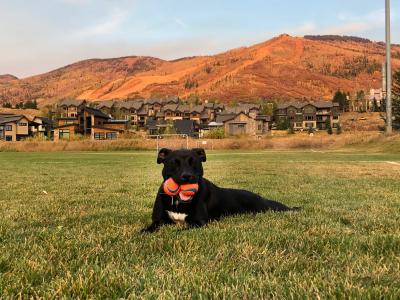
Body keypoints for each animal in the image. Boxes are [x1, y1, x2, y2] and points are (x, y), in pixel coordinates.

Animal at [141, 149, 300, 233]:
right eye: (174, 163)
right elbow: (148, 228)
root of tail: (258, 197)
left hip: (266, 208)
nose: (187, 176)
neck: (179, 202)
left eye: (194, 162)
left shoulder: (199, 222)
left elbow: (179, 230)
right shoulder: (158, 220)